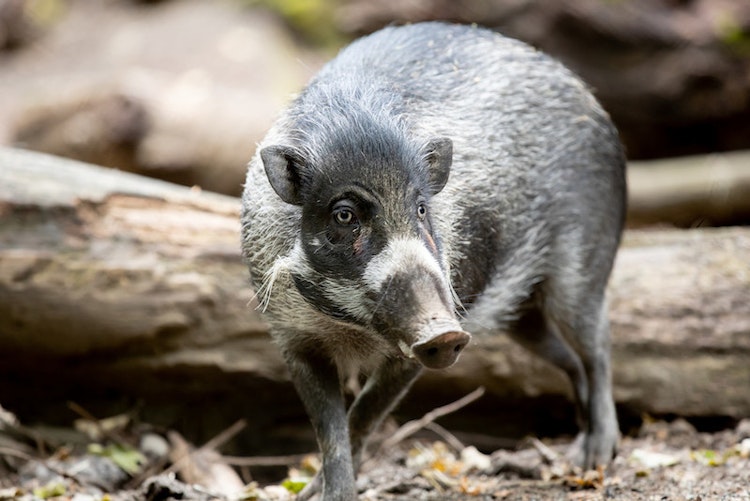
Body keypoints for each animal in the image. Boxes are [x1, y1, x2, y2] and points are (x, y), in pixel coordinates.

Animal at [242, 21, 628, 498]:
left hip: (582, 267)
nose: (445, 332)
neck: (351, 328)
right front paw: (317, 493)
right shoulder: (294, 340)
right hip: (522, 313)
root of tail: (587, 95)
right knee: (570, 358)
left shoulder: (411, 354)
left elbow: (362, 417)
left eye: (422, 208)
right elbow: (331, 431)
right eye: (344, 214)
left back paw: (595, 456)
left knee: (599, 344)